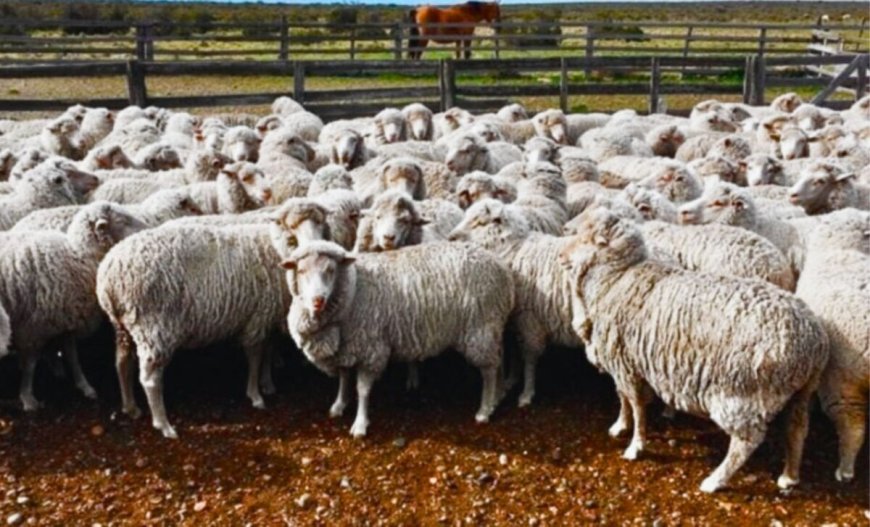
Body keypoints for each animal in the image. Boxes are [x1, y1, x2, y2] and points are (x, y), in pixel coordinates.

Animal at [0, 202, 146, 410]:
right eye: (123, 221)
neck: (79, 257)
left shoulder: (66, 318)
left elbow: (72, 355)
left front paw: (84, 386)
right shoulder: (33, 328)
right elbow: (30, 365)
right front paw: (28, 398)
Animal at [97, 224, 291, 438]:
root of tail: (110, 275)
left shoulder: (267, 318)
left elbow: (268, 351)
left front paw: (267, 383)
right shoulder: (257, 318)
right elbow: (255, 357)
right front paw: (255, 395)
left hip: (122, 327)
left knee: (123, 363)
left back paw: (130, 407)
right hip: (153, 328)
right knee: (150, 380)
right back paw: (163, 424)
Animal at [281, 240, 513, 437]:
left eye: (331, 270)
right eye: (300, 271)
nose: (318, 300)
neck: (354, 292)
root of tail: (502, 268)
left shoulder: (371, 349)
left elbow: (362, 390)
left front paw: (360, 424)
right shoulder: (346, 349)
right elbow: (344, 378)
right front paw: (339, 404)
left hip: (480, 329)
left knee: (489, 370)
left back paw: (484, 410)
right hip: (492, 327)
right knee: (499, 359)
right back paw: (498, 396)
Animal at [448, 199, 584, 406]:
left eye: (480, 222)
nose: (450, 238)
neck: (514, 249)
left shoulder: (529, 319)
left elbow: (529, 357)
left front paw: (526, 393)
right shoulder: (514, 320)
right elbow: (513, 350)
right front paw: (511, 379)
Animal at [559, 207, 828, 492]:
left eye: (585, 238)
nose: (561, 257)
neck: (615, 279)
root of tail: (814, 340)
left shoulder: (626, 365)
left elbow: (636, 405)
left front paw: (635, 446)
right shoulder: (623, 361)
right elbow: (623, 398)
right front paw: (621, 425)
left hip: (743, 393)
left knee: (746, 441)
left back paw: (714, 480)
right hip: (801, 391)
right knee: (797, 428)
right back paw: (790, 476)